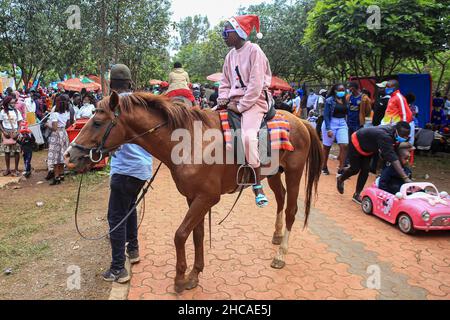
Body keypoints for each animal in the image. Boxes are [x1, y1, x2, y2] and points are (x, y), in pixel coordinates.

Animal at [65, 91, 322, 294]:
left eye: (97, 122)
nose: (69, 155)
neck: (190, 143)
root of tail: (301, 121)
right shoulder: (194, 198)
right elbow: (196, 234)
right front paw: (194, 274)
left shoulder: (207, 198)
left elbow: (180, 235)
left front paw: (179, 278)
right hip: (274, 173)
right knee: (281, 199)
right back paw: (277, 235)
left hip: (294, 172)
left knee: (291, 210)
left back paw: (280, 254)